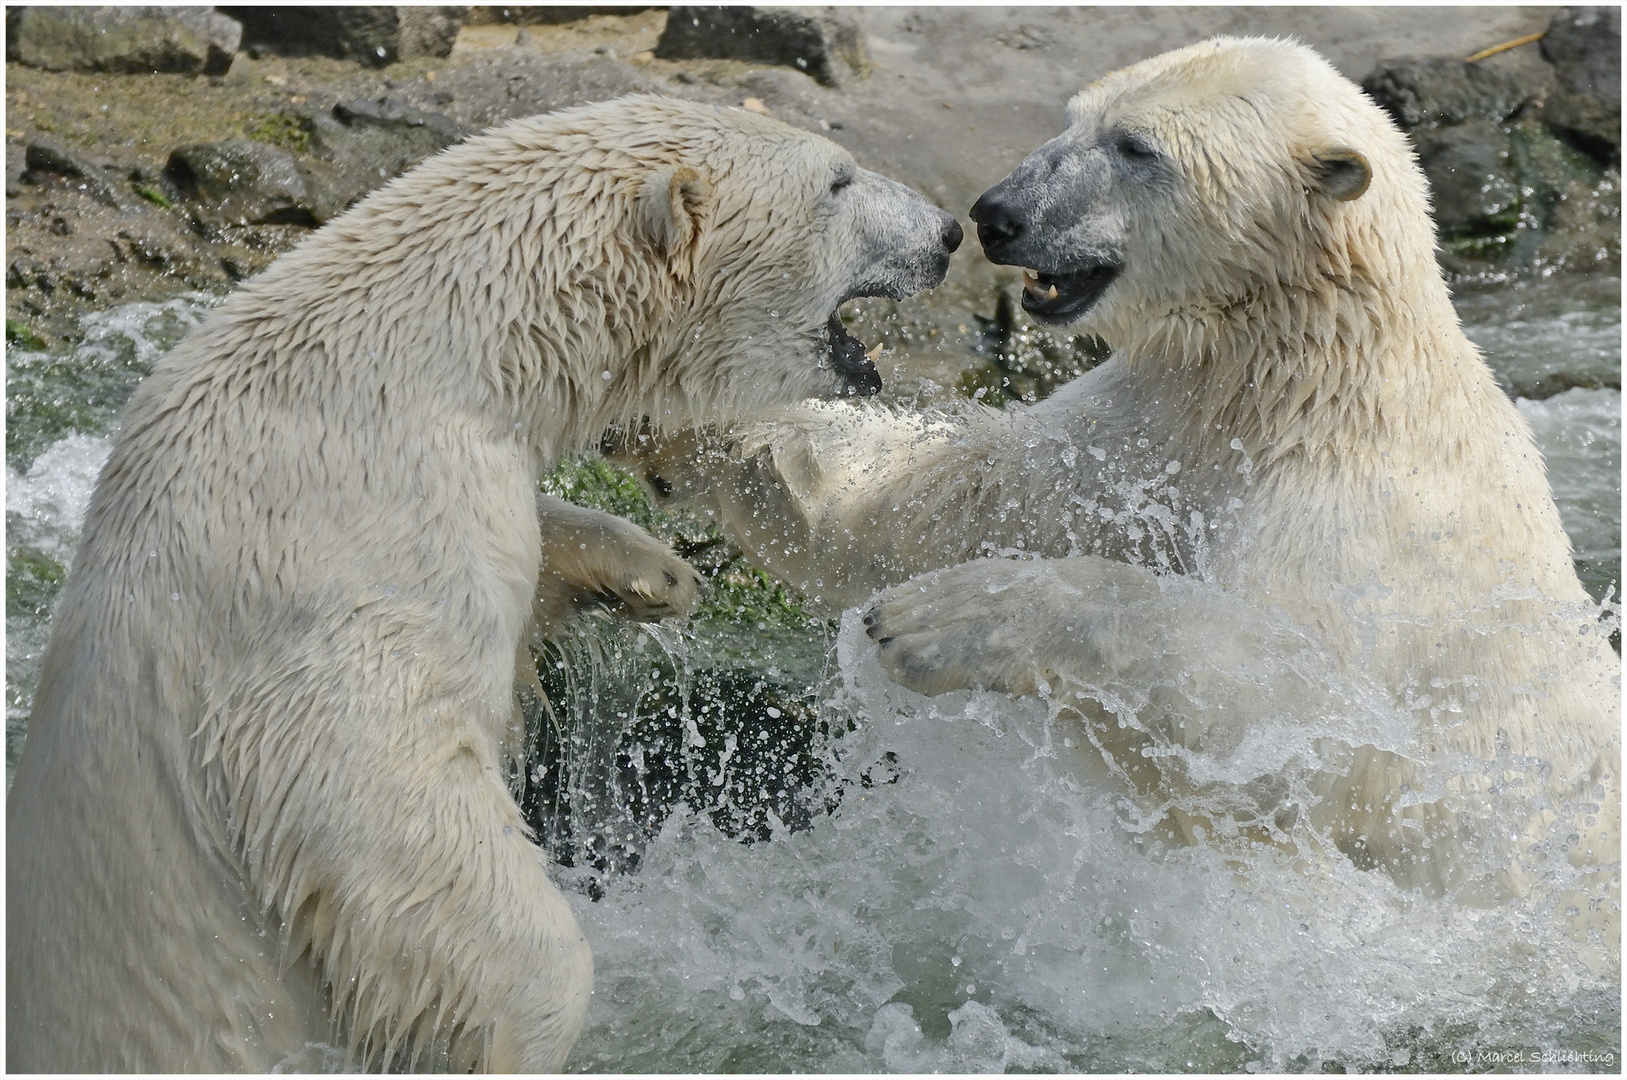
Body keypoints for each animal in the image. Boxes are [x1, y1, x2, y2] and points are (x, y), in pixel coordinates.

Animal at [6, 94, 956, 1073]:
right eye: (837, 180)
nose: (951, 234)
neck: (421, 361)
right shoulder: (343, 556)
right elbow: (387, 796)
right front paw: (536, 1009)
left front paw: (653, 572)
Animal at [618, 42, 1613, 917]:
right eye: (1073, 118)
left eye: (1137, 148)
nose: (995, 215)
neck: (1310, 380)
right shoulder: (1149, 429)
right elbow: (928, 503)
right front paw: (681, 420)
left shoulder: (1363, 532)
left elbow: (1318, 737)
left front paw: (942, 617)